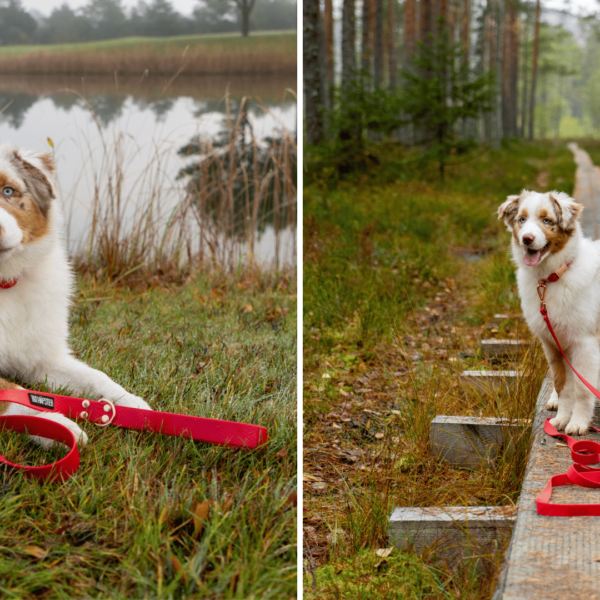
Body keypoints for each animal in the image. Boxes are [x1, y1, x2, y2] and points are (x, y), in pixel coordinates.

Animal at [0, 144, 150, 446]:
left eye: (8, 191)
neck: (3, 282)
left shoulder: (43, 359)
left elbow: (96, 377)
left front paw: (131, 405)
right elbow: (14, 395)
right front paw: (54, 426)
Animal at [496, 190, 600, 434]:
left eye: (546, 220)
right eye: (522, 219)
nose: (527, 239)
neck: (551, 278)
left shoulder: (585, 343)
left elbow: (582, 389)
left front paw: (578, 423)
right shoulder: (552, 342)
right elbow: (563, 385)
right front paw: (562, 419)